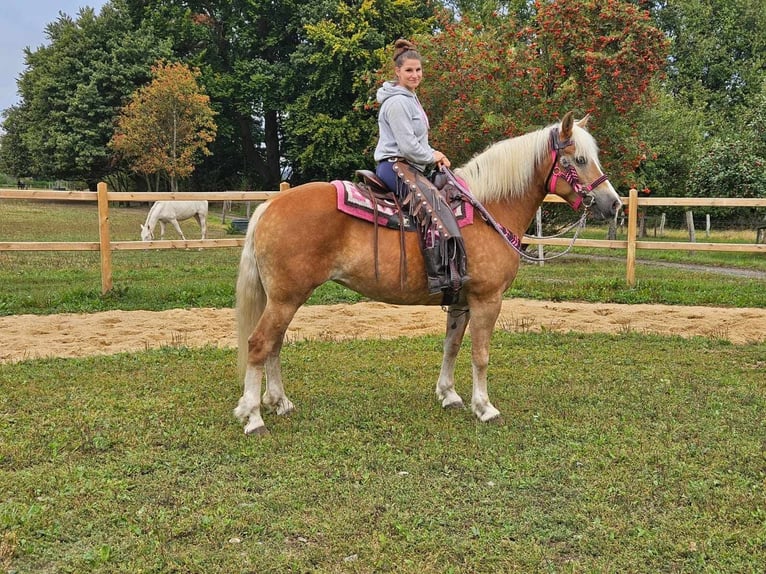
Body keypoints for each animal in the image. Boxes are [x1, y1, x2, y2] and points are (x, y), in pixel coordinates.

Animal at [234, 111, 624, 436]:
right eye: (580, 159)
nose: (615, 204)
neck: (490, 210)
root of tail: (270, 205)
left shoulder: (462, 301)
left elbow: (451, 346)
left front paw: (449, 395)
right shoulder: (487, 300)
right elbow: (480, 354)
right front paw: (485, 407)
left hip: (284, 299)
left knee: (275, 345)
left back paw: (280, 402)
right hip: (286, 298)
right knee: (259, 344)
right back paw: (253, 416)